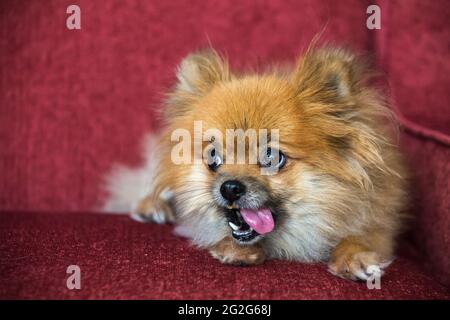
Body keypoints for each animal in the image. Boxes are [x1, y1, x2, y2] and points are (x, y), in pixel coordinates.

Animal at [104, 46, 408, 282]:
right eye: (213, 158)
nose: (230, 187)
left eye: (272, 157)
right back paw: (152, 205)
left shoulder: (380, 217)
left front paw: (354, 255)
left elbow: (364, 235)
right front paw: (234, 249)